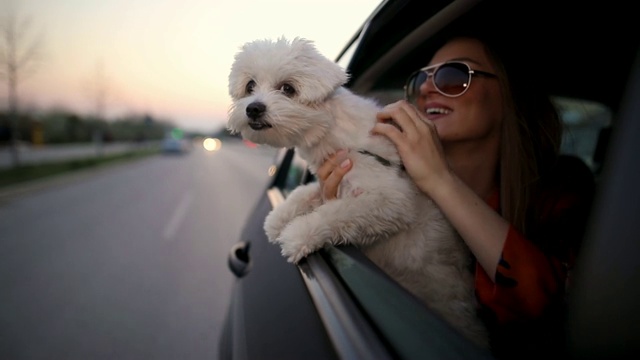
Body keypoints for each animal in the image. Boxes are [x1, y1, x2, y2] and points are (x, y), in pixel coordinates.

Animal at [228, 37, 488, 348]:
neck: (335, 133)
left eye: (288, 89)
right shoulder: (334, 175)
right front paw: (279, 218)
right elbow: (307, 192)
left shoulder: (390, 200)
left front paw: (297, 235)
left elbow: (336, 213)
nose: (253, 108)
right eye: (250, 86)